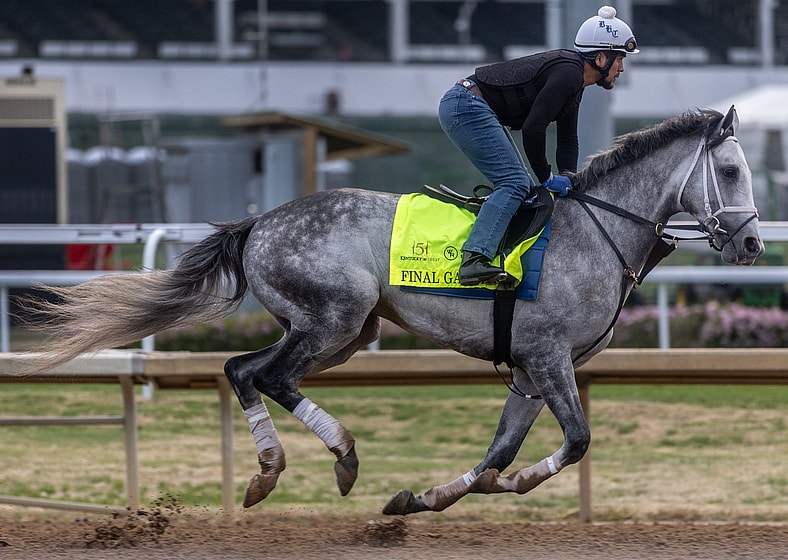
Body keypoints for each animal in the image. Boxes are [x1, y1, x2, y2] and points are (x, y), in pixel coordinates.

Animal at [22, 107, 763, 515]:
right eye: (730, 172)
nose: (753, 243)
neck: (596, 229)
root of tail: (260, 222)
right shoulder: (548, 356)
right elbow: (573, 442)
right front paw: (514, 483)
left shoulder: (531, 368)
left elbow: (497, 451)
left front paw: (425, 499)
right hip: (335, 319)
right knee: (270, 376)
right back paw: (343, 456)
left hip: (343, 331)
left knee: (241, 370)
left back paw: (269, 474)